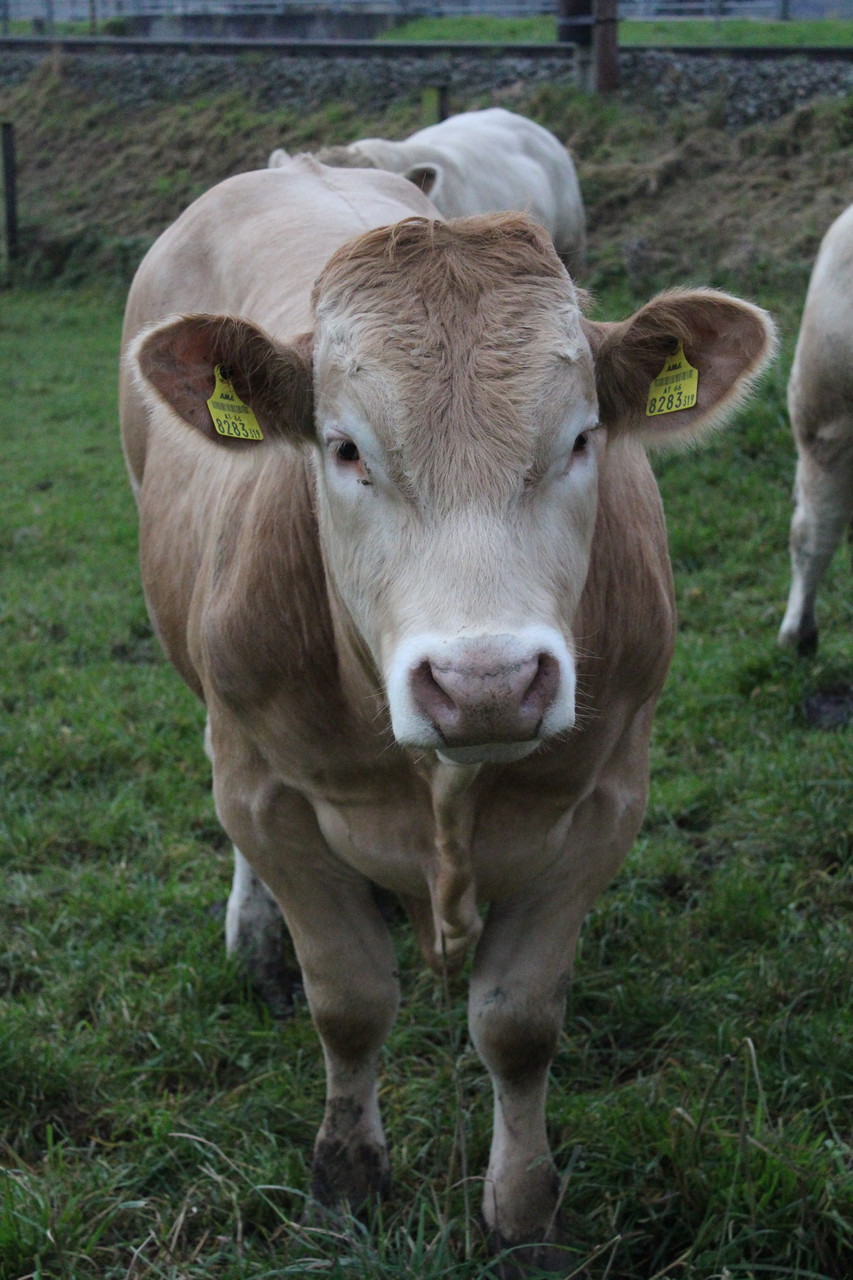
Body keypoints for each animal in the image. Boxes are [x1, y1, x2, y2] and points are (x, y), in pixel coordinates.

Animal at [122, 154, 773, 1264]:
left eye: (581, 438)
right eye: (343, 448)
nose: (486, 683)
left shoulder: (605, 801)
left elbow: (517, 1023)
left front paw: (523, 1210)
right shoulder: (270, 791)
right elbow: (350, 1001)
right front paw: (346, 1177)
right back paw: (256, 938)